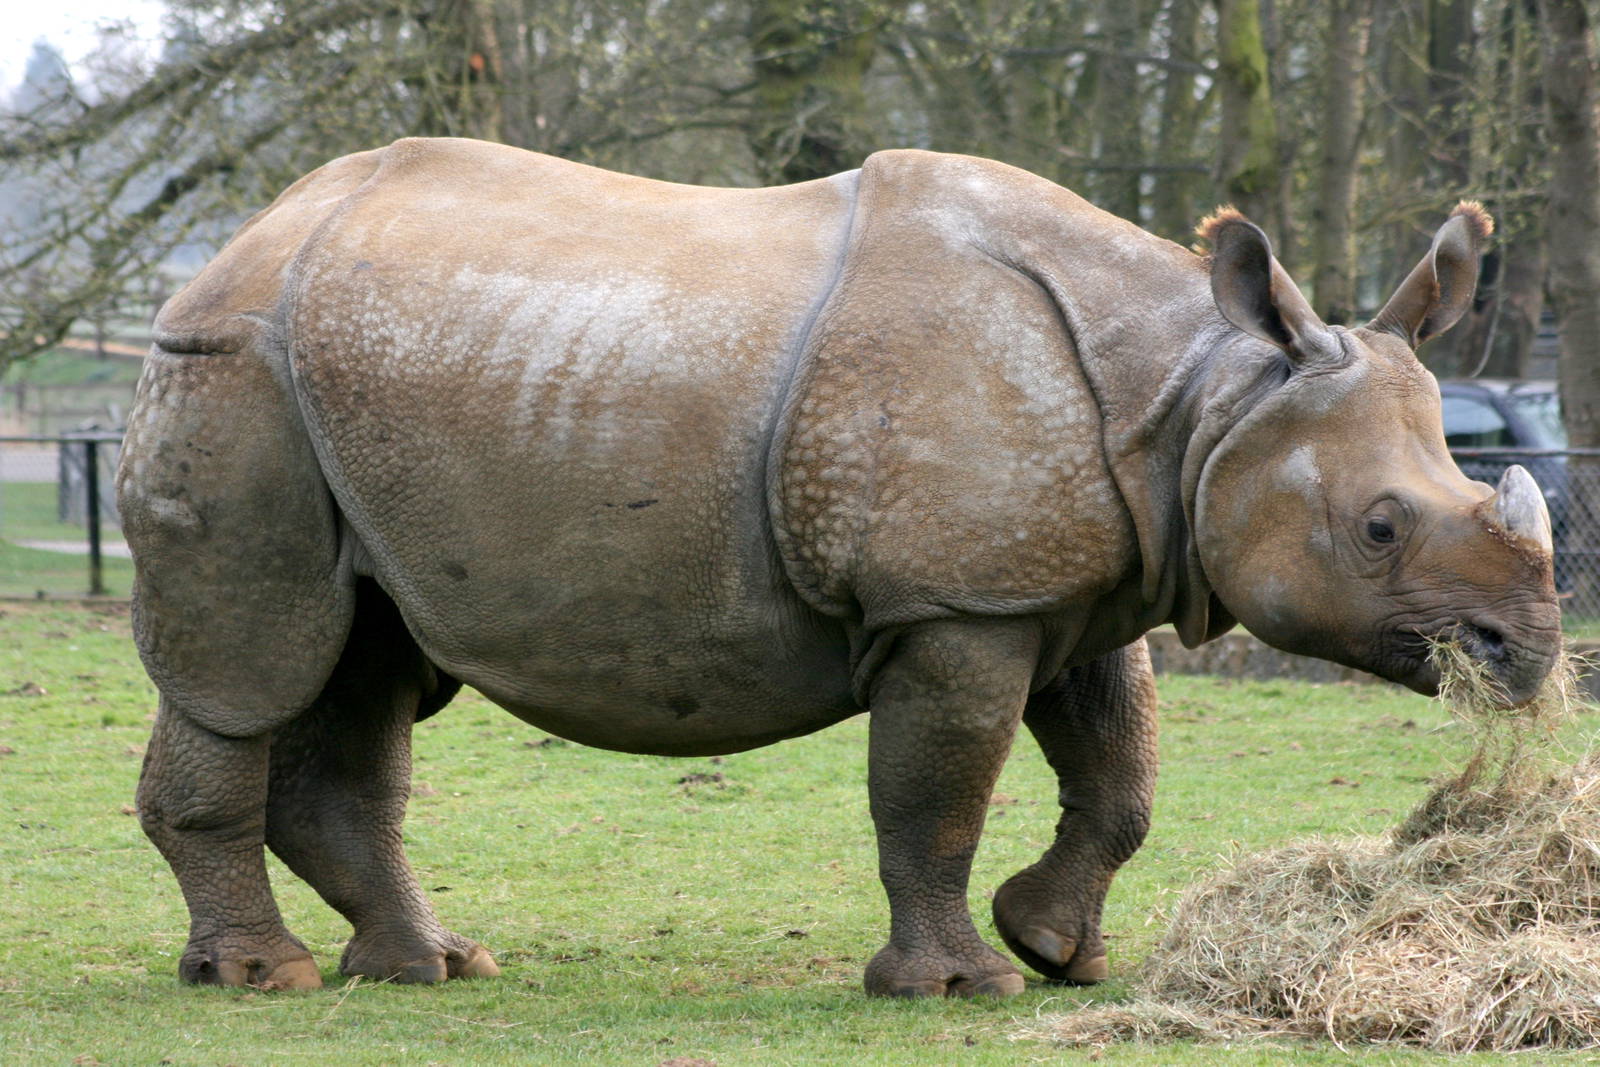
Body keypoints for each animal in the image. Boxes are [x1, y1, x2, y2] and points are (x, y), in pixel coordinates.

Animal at [117, 138, 1559, 997]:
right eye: (1378, 529)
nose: (1525, 654)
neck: (1201, 399)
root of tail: (239, 242)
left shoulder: (1069, 588)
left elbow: (1120, 778)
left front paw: (1057, 949)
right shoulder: (957, 601)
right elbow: (935, 794)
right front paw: (959, 985)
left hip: (352, 401)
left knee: (367, 660)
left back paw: (431, 967)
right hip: (234, 374)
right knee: (249, 665)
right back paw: (263, 977)